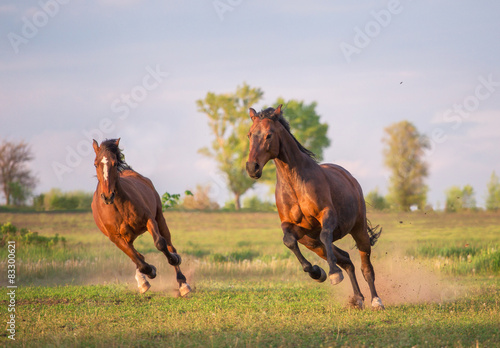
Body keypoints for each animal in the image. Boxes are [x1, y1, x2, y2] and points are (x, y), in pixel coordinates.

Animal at [90, 139, 191, 296]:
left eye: (114, 163)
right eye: (96, 164)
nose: (107, 196)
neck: (119, 207)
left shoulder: (149, 220)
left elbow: (160, 244)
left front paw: (174, 260)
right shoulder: (115, 238)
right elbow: (137, 260)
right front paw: (150, 272)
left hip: (160, 219)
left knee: (169, 245)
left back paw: (183, 283)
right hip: (128, 238)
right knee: (137, 257)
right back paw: (143, 281)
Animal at [245, 106, 382, 310]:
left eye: (269, 135)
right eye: (249, 134)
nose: (252, 167)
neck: (295, 183)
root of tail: (350, 178)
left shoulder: (327, 215)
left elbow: (326, 234)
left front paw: (333, 274)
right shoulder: (293, 227)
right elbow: (288, 241)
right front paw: (317, 272)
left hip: (359, 230)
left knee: (366, 267)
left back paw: (376, 301)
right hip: (312, 243)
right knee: (346, 259)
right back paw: (357, 298)